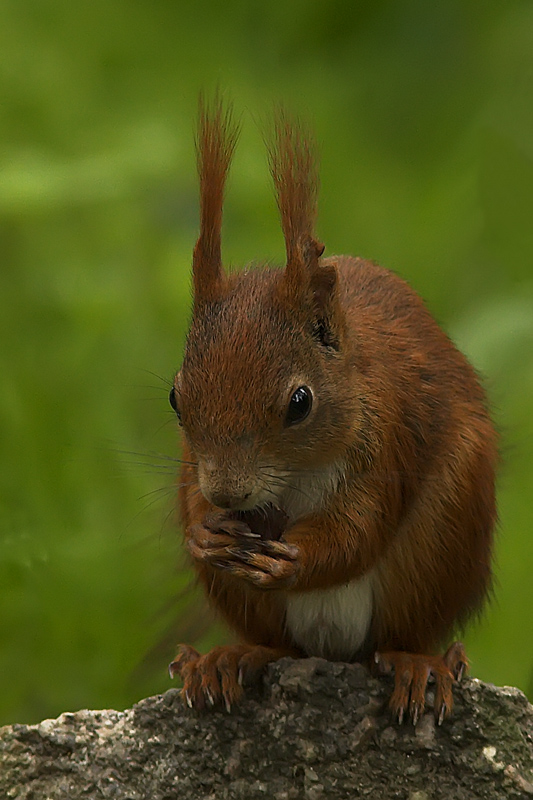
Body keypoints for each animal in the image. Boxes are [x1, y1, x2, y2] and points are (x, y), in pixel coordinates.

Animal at [168, 98, 496, 724]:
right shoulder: (189, 466)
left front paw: (292, 560)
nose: (229, 495)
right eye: (175, 397)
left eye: (300, 403)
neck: (296, 475)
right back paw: (231, 656)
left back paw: (419, 664)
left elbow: (358, 532)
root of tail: (336, 650)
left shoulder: (389, 436)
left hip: (440, 544)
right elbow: (197, 510)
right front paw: (204, 531)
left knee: (403, 633)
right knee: (279, 646)